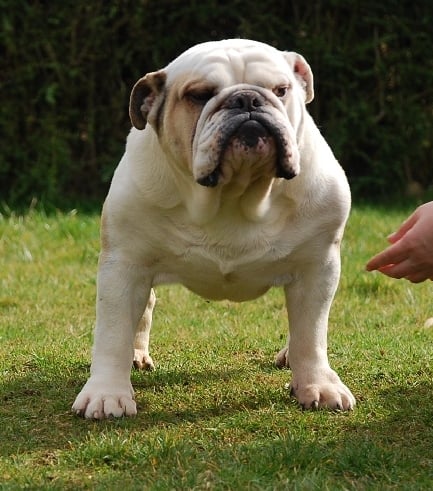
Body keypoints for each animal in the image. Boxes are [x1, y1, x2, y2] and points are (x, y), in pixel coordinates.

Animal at [72, 39, 355, 419]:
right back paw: (136, 355)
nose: (247, 100)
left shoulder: (317, 267)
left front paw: (318, 386)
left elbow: (311, 334)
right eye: (199, 95)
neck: (234, 193)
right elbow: (113, 332)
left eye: (280, 90)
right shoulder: (124, 265)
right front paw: (106, 394)